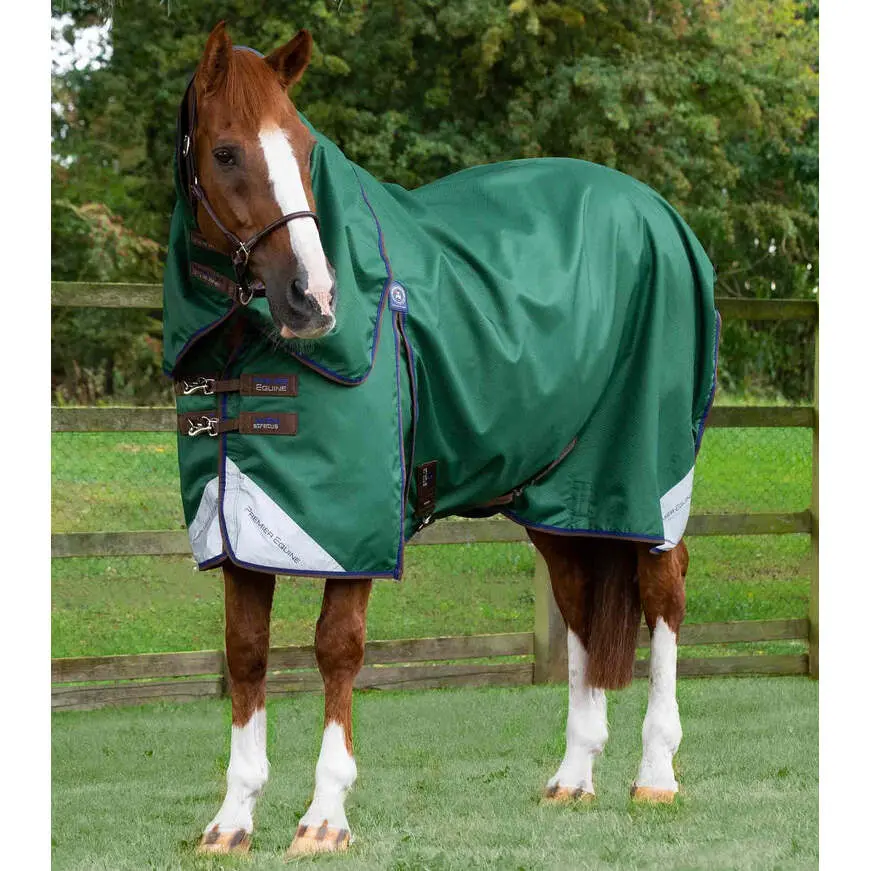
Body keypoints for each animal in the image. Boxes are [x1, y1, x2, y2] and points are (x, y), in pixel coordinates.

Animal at [173, 22, 708, 857]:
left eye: (304, 147)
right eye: (226, 152)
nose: (313, 298)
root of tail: (660, 214)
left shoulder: (355, 529)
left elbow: (336, 646)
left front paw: (325, 815)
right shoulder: (237, 528)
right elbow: (247, 651)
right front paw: (231, 819)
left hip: (645, 476)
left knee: (663, 595)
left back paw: (653, 772)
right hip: (557, 494)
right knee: (579, 603)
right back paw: (573, 774)